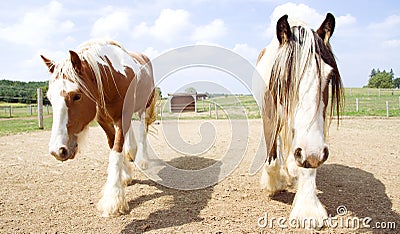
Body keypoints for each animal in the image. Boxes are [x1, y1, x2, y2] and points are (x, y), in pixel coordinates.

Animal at [40, 39, 156, 217]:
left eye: (76, 96)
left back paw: (142, 160)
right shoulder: (103, 119)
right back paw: (132, 153)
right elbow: (113, 145)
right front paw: (125, 175)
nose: (57, 151)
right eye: (49, 98)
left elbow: (116, 151)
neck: (114, 77)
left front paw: (114, 198)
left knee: (143, 132)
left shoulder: (122, 117)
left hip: (144, 107)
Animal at [256, 13, 344, 228]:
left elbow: (308, 164)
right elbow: (272, 160)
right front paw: (274, 184)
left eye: (329, 76)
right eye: (285, 78)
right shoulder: (269, 117)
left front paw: (308, 208)